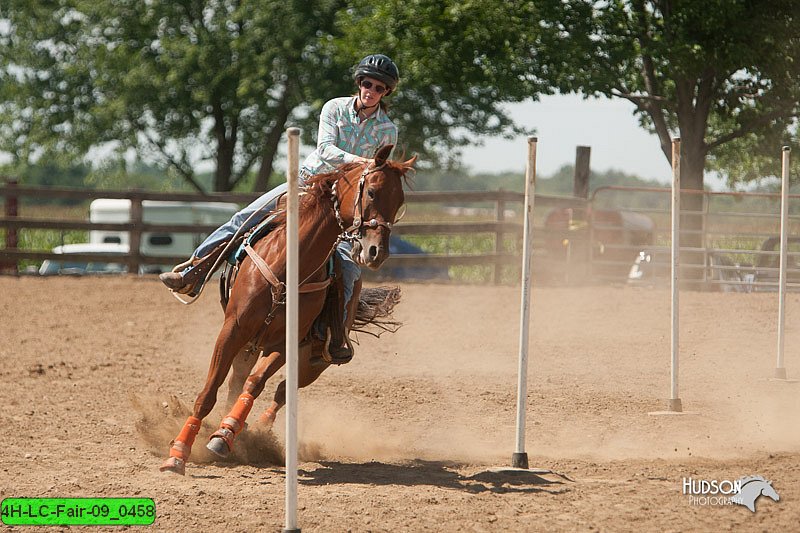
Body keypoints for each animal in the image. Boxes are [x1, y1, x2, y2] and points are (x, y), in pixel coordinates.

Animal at [159, 144, 416, 474]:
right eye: (371, 192)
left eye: (399, 201)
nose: (375, 252)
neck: (287, 265)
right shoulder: (233, 329)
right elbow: (209, 392)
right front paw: (177, 454)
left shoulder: (285, 343)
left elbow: (256, 384)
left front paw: (224, 436)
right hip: (250, 344)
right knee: (236, 382)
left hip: (314, 360)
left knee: (282, 390)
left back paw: (248, 431)